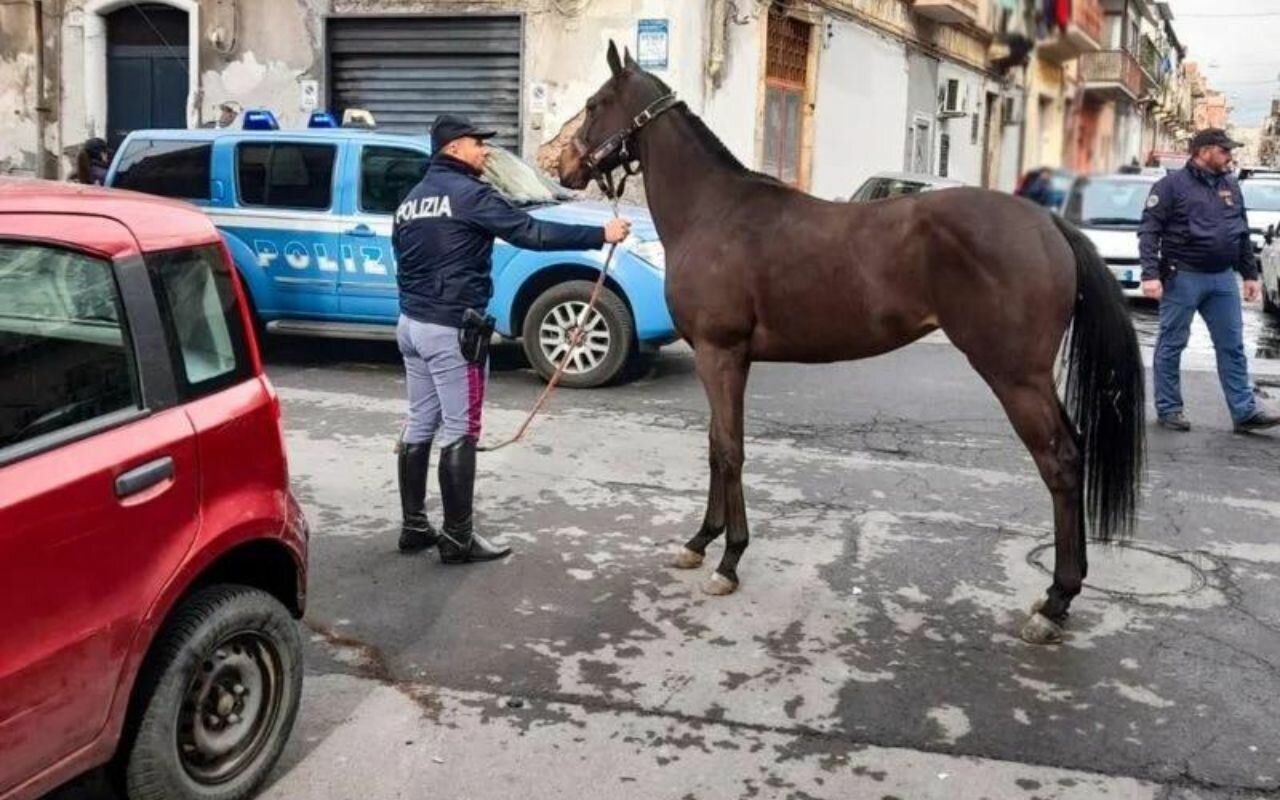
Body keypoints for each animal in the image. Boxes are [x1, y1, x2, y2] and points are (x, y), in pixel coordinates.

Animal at [557, 43, 1145, 645]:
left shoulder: (721, 355)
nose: (564, 166)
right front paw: (701, 542)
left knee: (1061, 463)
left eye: (595, 103)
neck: (712, 211)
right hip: (1032, 378)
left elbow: (729, 449)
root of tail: (1049, 224)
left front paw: (729, 560)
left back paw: (1055, 601)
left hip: (1014, 377)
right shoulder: (722, 358)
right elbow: (717, 447)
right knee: (1073, 451)